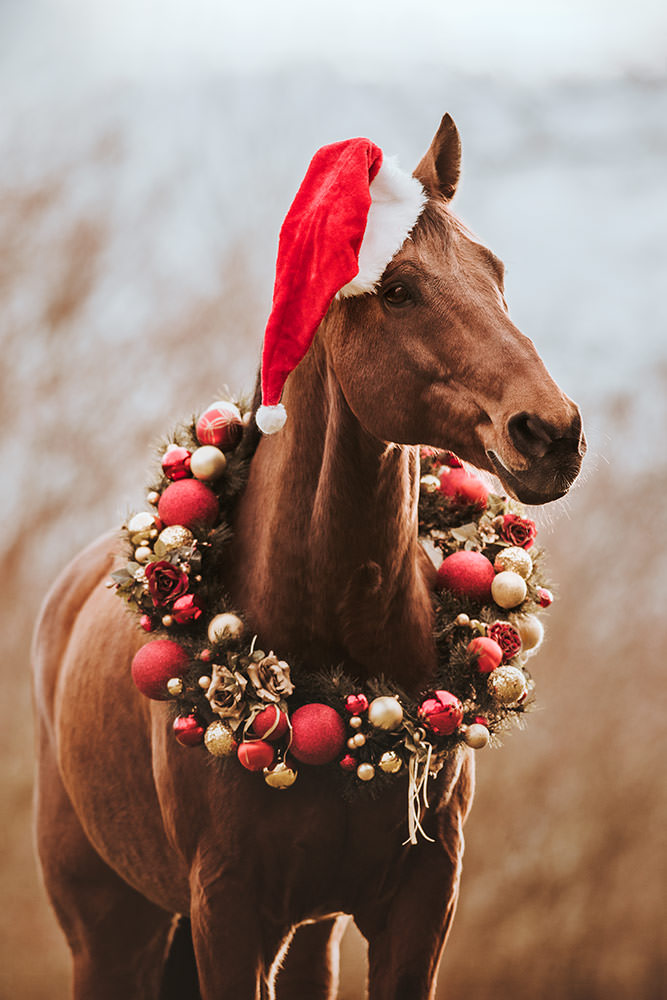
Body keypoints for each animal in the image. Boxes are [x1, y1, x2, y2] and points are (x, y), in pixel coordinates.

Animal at [32, 114, 585, 1000]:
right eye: (396, 288)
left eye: (494, 271)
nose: (550, 432)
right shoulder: (228, 911)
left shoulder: (416, 905)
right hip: (112, 930)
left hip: (308, 932)